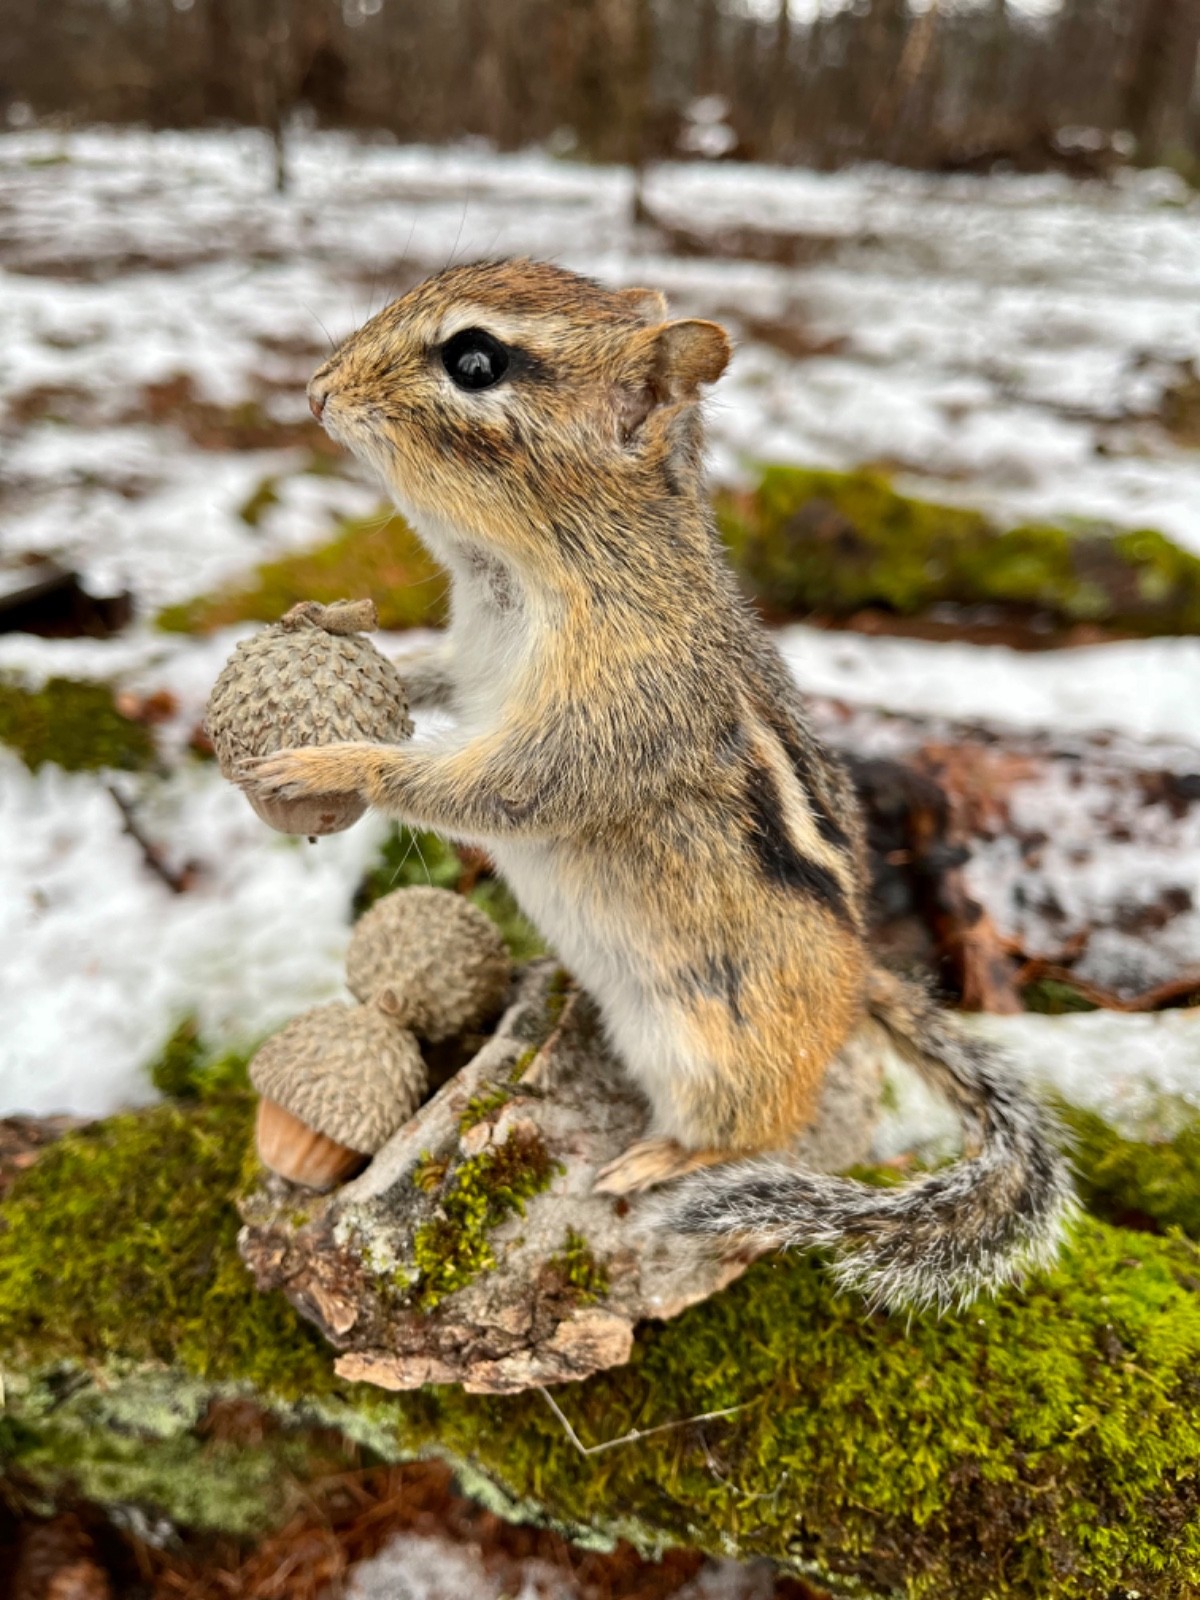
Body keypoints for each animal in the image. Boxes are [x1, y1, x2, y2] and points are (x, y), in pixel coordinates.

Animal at [242, 258, 1074, 1309]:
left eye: (475, 362)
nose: (316, 391)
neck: (525, 570)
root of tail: (859, 983)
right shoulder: (472, 661)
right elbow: (428, 681)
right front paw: (327, 621)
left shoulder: (609, 720)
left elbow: (497, 793)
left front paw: (330, 760)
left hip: (711, 1052)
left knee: (756, 1127)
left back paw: (661, 1160)